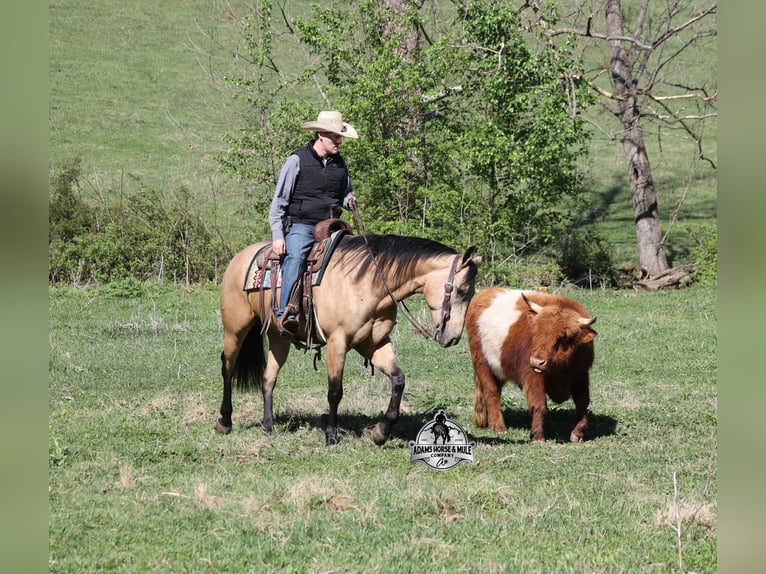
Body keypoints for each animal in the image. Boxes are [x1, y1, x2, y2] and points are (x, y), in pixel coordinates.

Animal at [215, 233, 482, 446]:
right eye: (460, 291)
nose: (453, 338)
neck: (366, 283)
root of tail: (240, 258)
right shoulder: (338, 342)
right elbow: (335, 391)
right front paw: (331, 435)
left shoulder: (374, 343)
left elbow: (398, 380)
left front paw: (380, 432)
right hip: (235, 329)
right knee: (227, 368)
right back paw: (225, 421)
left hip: (278, 337)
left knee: (268, 377)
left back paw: (269, 426)